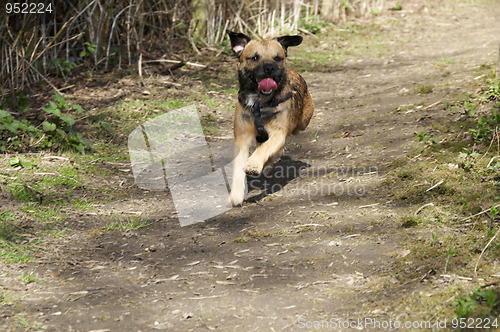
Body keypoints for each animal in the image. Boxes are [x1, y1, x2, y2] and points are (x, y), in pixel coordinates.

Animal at [228, 29, 314, 206]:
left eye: (277, 58)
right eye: (254, 57)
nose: (269, 68)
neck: (259, 103)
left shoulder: (278, 133)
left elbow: (264, 148)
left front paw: (253, 164)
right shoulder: (242, 137)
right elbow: (238, 167)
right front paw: (236, 194)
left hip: (303, 121)